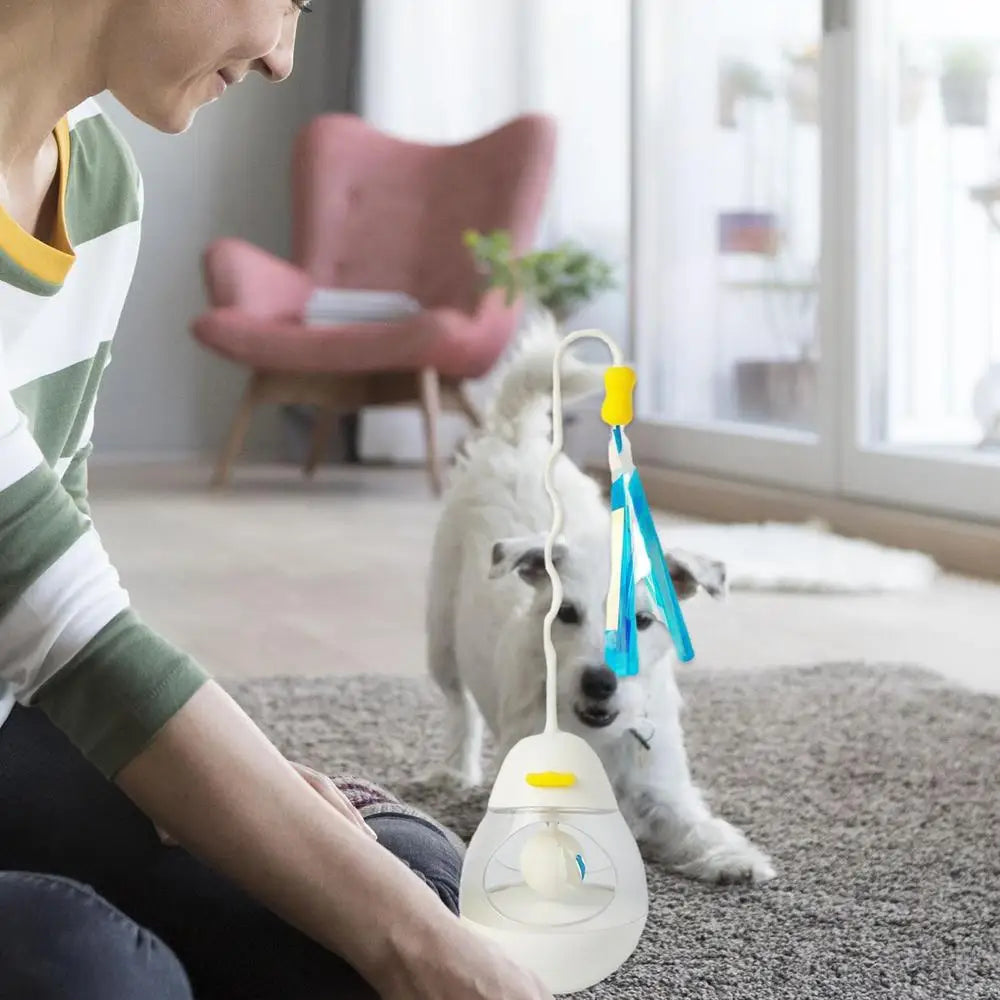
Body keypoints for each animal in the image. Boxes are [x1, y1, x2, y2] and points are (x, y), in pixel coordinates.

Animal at [426, 328, 776, 884]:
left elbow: (697, 824)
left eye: (643, 620)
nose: (599, 681)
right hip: (440, 638)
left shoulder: (664, 791)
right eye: (566, 613)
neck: (598, 737)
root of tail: (515, 439)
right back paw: (457, 770)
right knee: (461, 709)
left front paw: (733, 858)